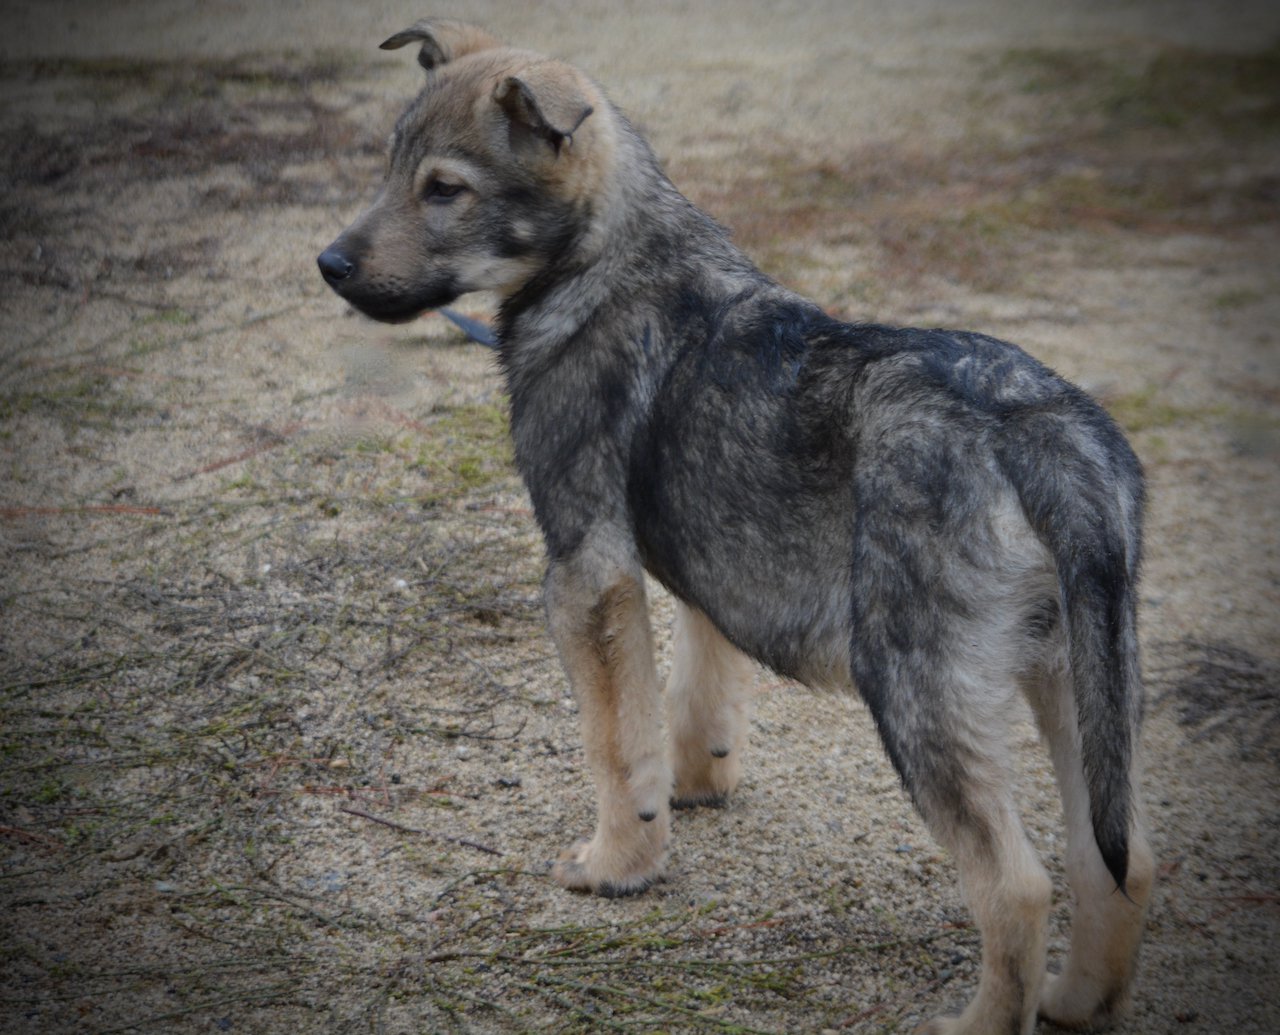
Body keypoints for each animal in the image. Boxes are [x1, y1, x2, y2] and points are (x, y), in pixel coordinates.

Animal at [317, 20, 1152, 1028]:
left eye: (444, 189)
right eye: (389, 167)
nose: (329, 265)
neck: (610, 258)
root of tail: (1040, 426)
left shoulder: (584, 569)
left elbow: (614, 743)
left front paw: (620, 862)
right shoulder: (708, 564)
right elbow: (691, 690)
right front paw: (694, 784)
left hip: (920, 691)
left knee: (1017, 886)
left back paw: (984, 1017)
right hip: (1079, 681)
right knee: (1118, 859)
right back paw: (1079, 998)